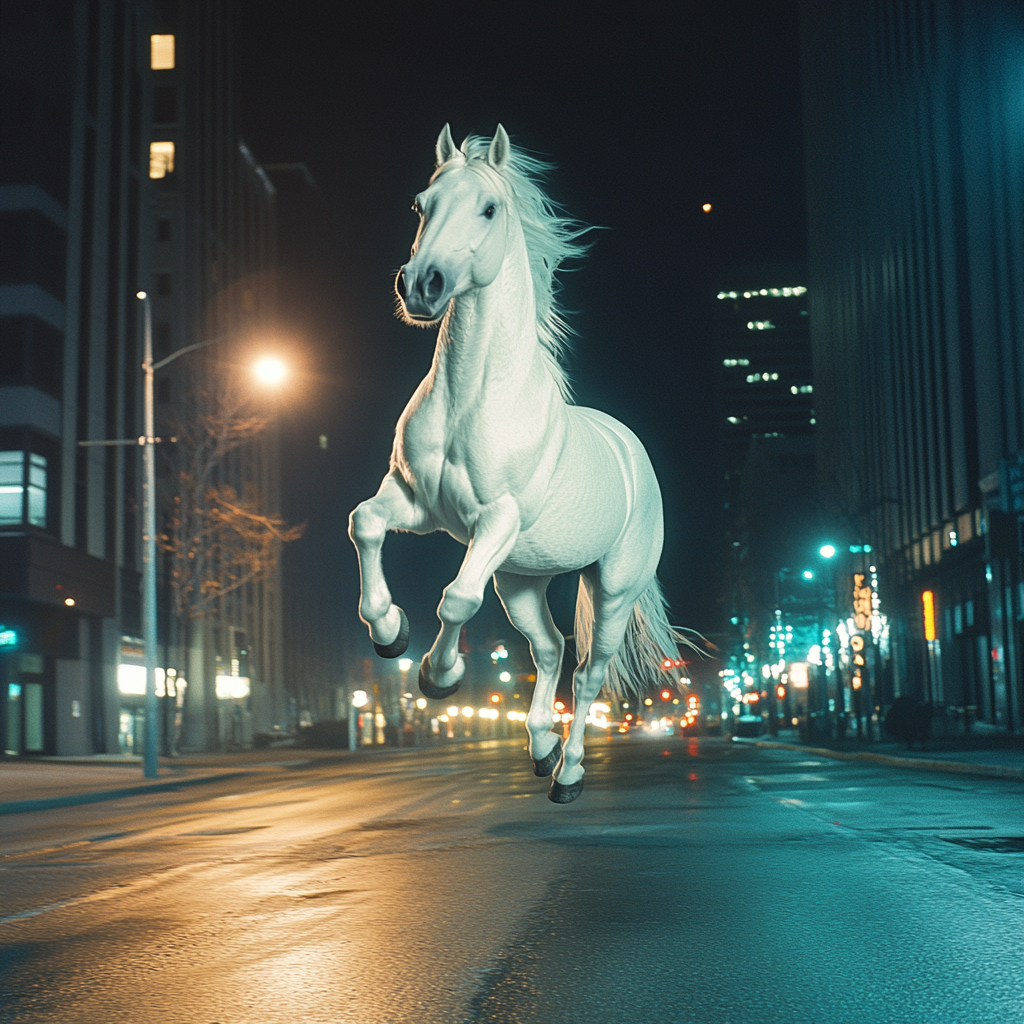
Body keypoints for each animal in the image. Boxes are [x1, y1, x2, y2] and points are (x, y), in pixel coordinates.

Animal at [346, 125, 688, 798]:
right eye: (421, 204)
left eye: (489, 209)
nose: (421, 284)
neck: (473, 400)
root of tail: (631, 450)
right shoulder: (414, 502)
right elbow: (365, 523)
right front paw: (391, 633)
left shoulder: (495, 520)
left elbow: (456, 598)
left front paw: (439, 676)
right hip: (522, 579)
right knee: (551, 649)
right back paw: (540, 746)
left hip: (611, 585)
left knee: (587, 672)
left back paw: (569, 771)